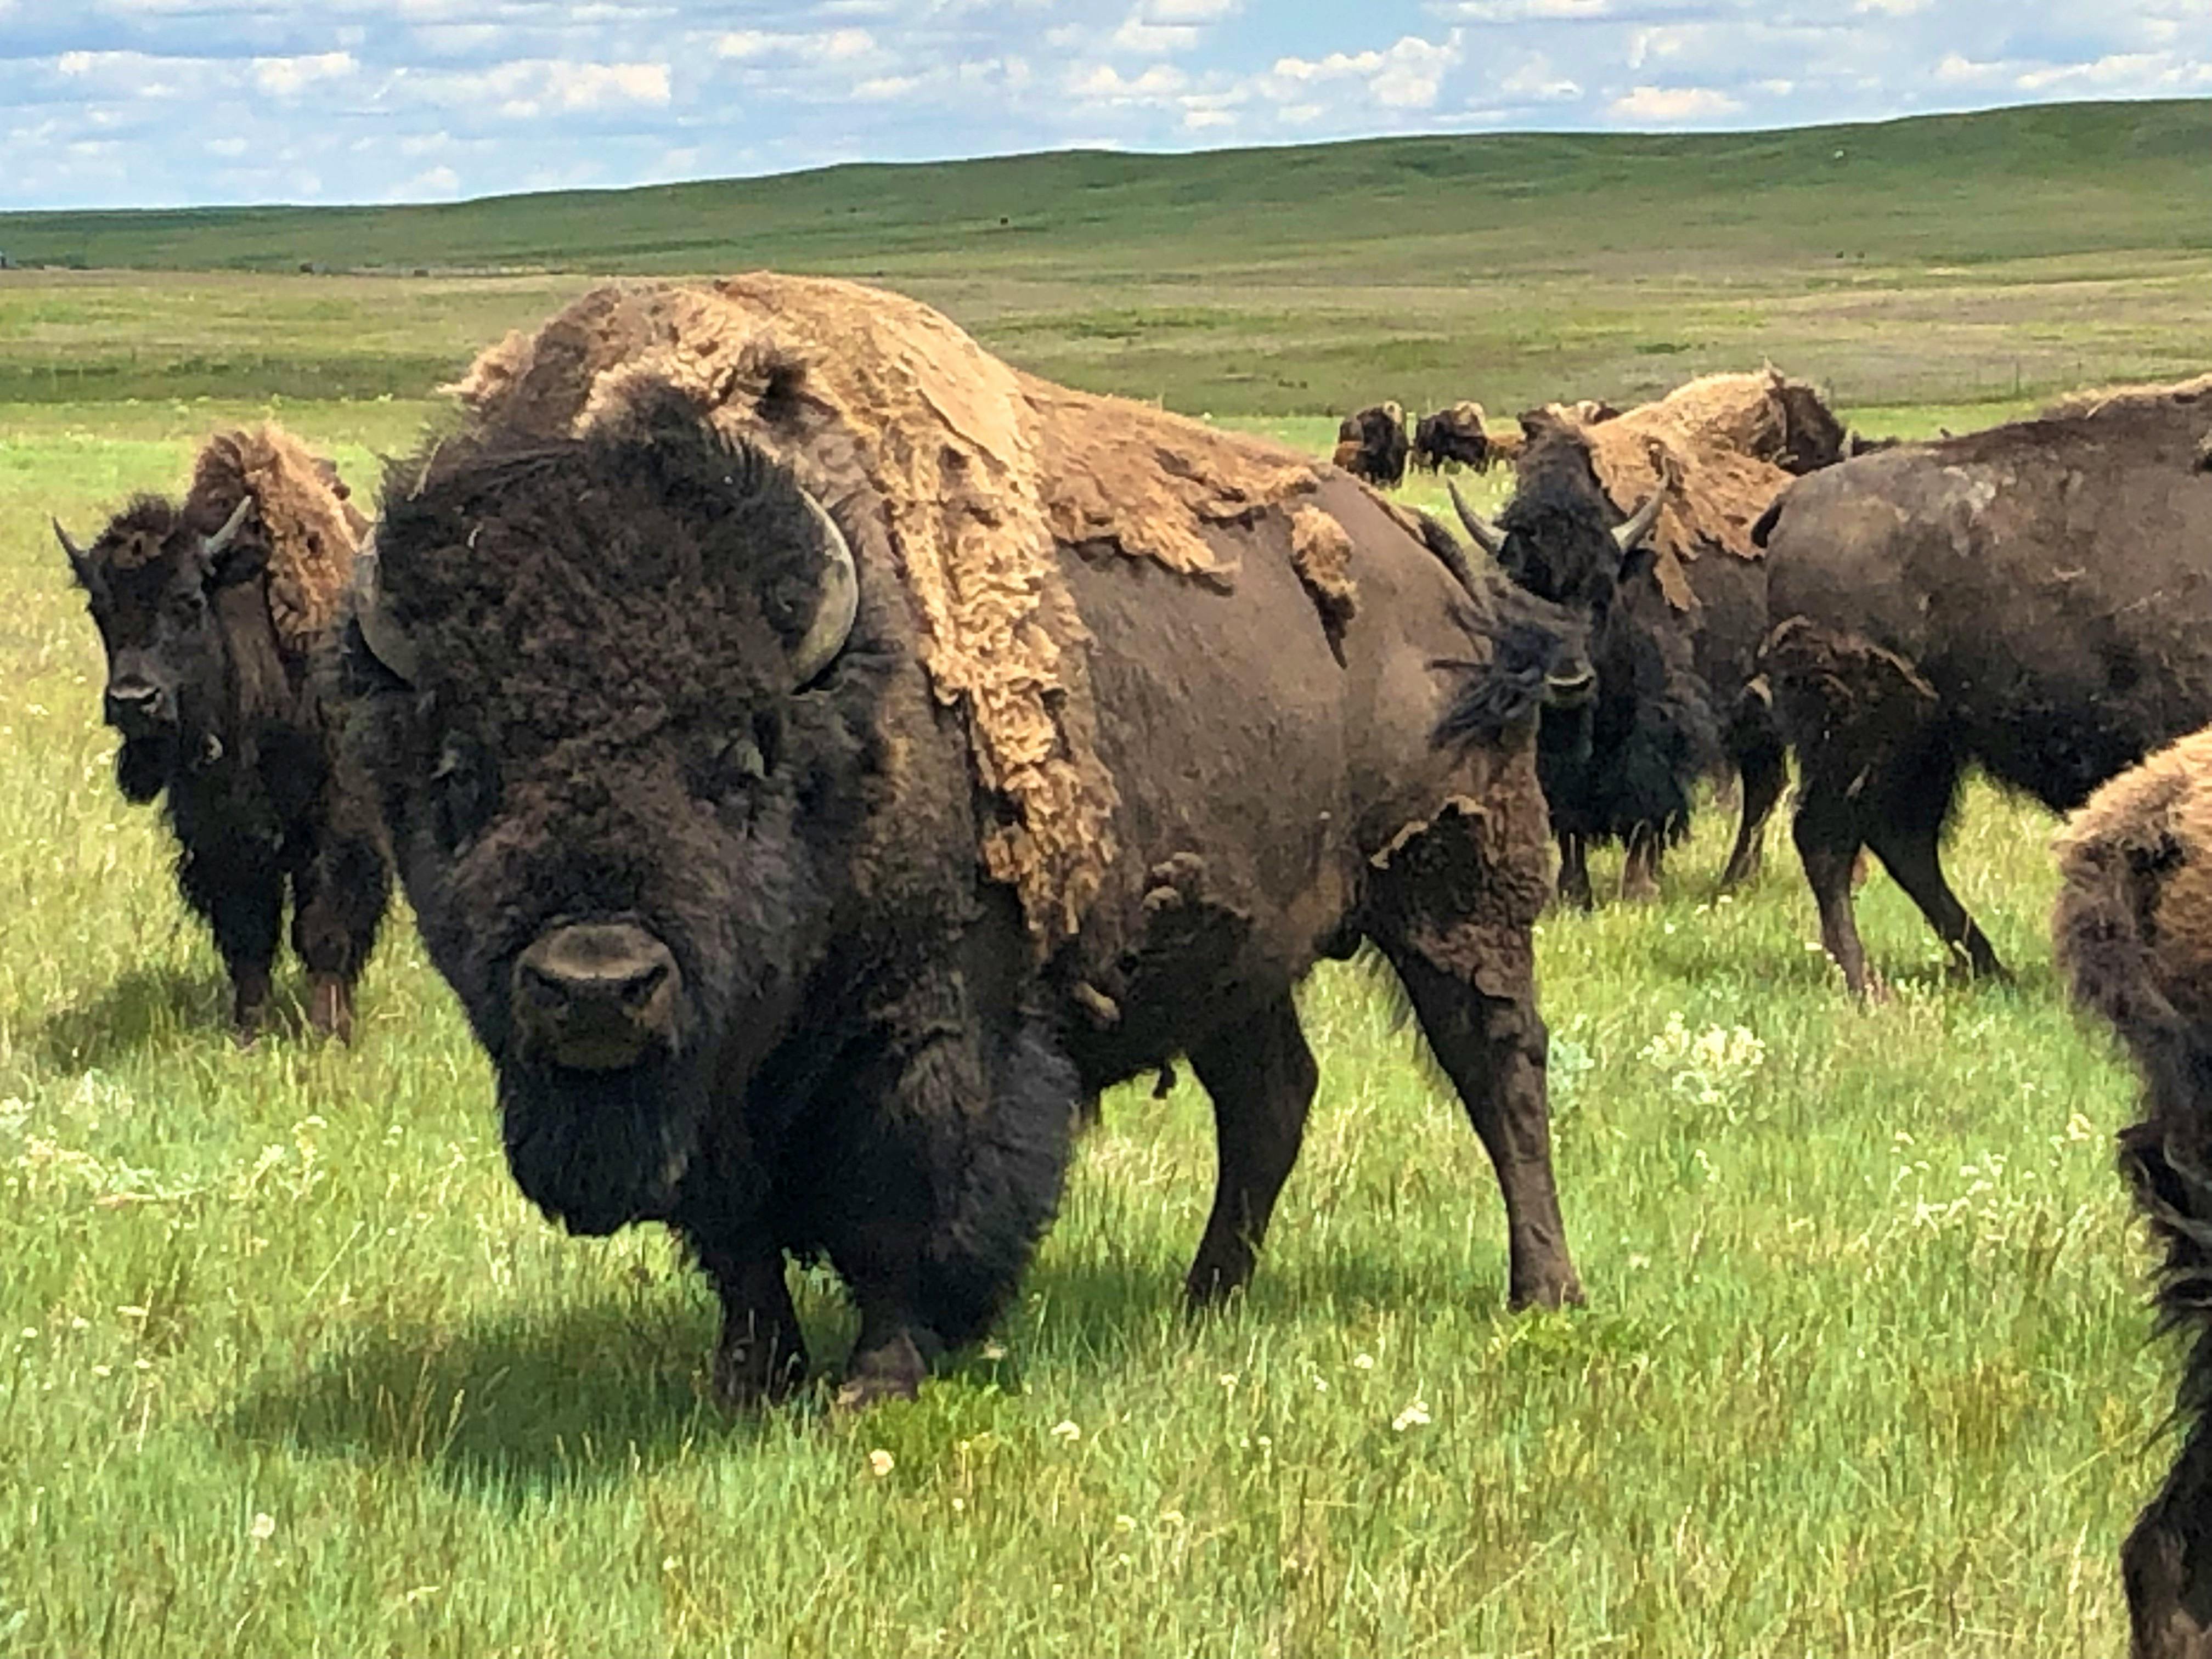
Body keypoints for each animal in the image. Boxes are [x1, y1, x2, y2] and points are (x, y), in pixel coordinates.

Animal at [56, 427, 390, 1040]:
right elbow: (247, 928)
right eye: (99, 608)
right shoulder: (219, 827)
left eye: (188, 600)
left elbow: (327, 923)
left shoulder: (342, 815)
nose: (133, 701)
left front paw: (328, 1032)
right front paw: (249, 1031)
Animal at [341, 275, 1592, 1409]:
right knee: (1270, 1100)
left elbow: (909, 1186)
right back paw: (1205, 1300)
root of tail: (1434, 566)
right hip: (1242, 946)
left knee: (1499, 1071)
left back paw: (1542, 1293)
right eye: (458, 769)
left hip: (1454, 892)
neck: (842, 706)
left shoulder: (936, 1014)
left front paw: (877, 1380)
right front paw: (752, 1378)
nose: (594, 985)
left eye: (738, 757)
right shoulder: (720, 1067)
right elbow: (733, 1223)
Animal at [1757, 377, 2212, 994]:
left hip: (1924, 746)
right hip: (1860, 734)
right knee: (1829, 838)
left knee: (1901, 841)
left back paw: (1989, 967)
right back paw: (1869, 985)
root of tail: (1796, 498)